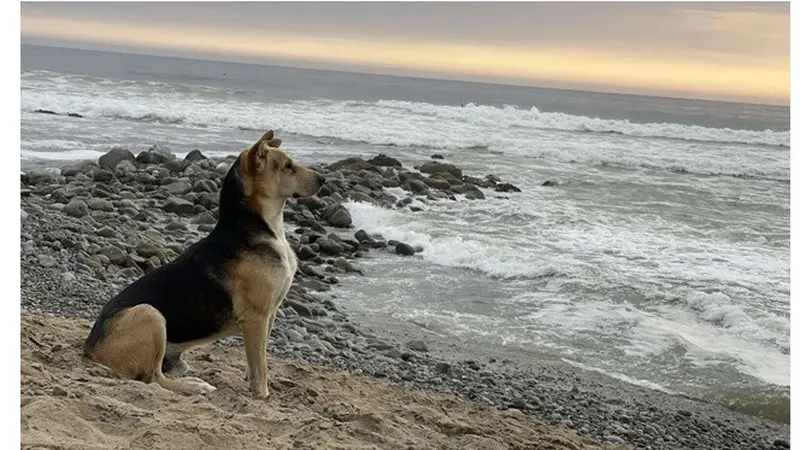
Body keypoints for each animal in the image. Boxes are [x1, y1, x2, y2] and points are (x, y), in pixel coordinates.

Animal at [82, 129, 324, 398]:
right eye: (288, 166)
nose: (323, 179)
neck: (259, 227)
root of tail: (90, 349)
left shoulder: (269, 314)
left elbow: (256, 359)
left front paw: (251, 381)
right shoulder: (257, 317)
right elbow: (260, 364)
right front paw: (261, 394)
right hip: (150, 313)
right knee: (153, 378)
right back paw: (194, 386)